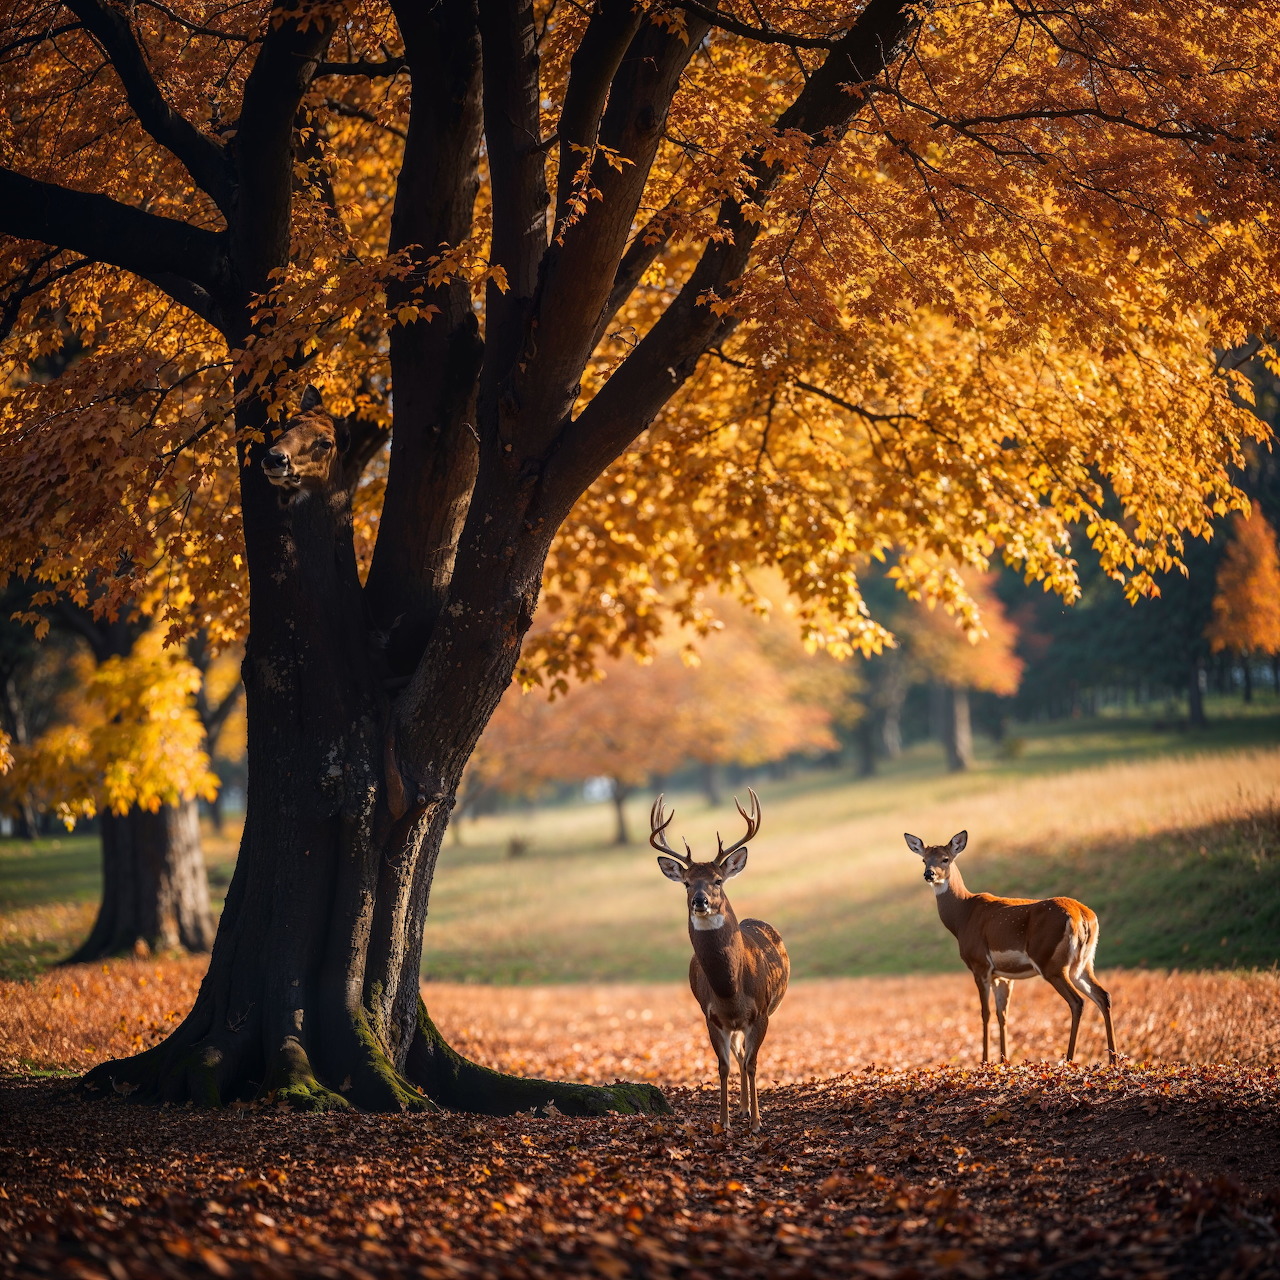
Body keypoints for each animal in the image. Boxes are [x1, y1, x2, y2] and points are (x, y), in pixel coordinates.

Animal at [653, 789, 789, 1133]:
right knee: (737, 1054)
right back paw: (741, 1108)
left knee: (745, 1056)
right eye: (687, 882)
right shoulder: (711, 1016)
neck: (731, 991)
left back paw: (749, 1110)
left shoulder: (761, 1013)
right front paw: (725, 1121)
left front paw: (756, 1123)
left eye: (718, 880)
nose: (700, 901)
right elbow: (723, 1065)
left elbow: (753, 1064)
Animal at [905, 830, 1118, 1065]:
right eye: (924, 859)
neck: (962, 917)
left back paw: (1069, 1060)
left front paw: (985, 1062)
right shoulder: (1003, 975)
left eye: (945, 858)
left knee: (1077, 1002)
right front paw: (1003, 1061)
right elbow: (1003, 1014)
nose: (929, 874)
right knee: (1103, 995)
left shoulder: (980, 964)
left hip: (1050, 962)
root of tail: (1082, 916)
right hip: (1083, 963)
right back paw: (1113, 1060)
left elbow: (985, 1013)